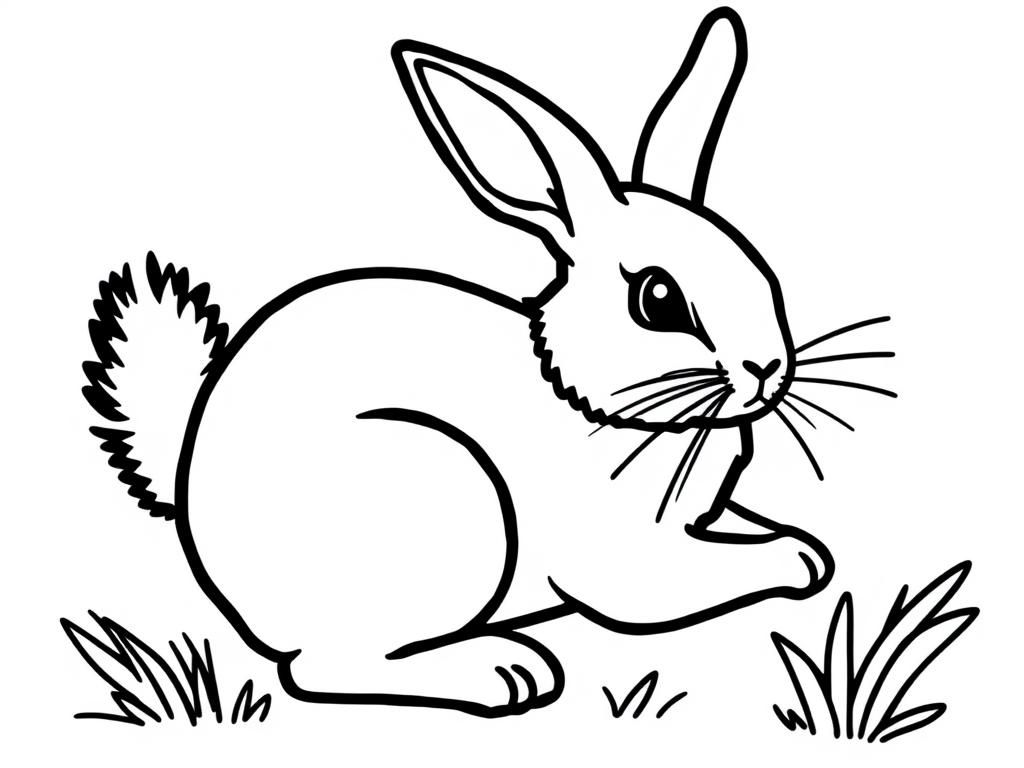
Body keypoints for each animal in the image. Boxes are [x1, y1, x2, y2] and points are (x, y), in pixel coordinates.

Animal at [82, 8, 838, 717]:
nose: (767, 369)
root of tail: (192, 511)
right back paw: (503, 671)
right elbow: (679, 583)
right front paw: (795, 560)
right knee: (326, 668)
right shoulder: (626, 560)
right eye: (657, 298)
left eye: (754, 266)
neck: (584, 400)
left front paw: (801, 547)